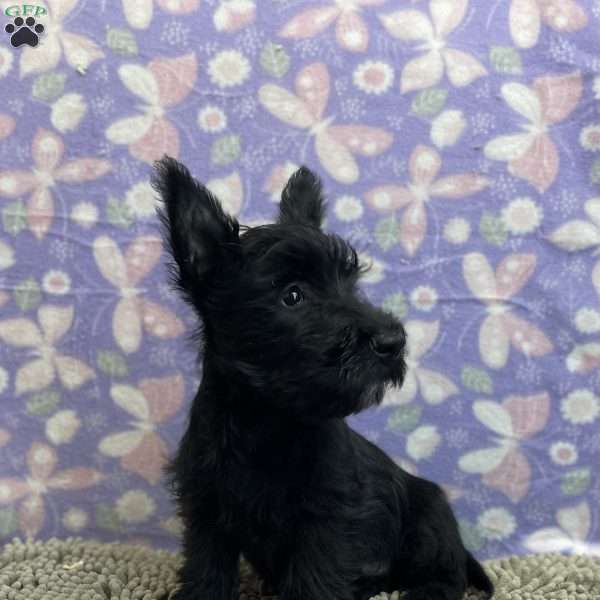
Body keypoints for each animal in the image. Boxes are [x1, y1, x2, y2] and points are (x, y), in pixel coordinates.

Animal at [152, 158, 494, 600]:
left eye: (349, 282)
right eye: (293, 295)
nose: (393, 341)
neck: (266, 418)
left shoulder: (325, 516)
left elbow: (313, 580)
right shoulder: (207, 512)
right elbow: (206, 571)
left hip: (429, 517)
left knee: (446, 574)